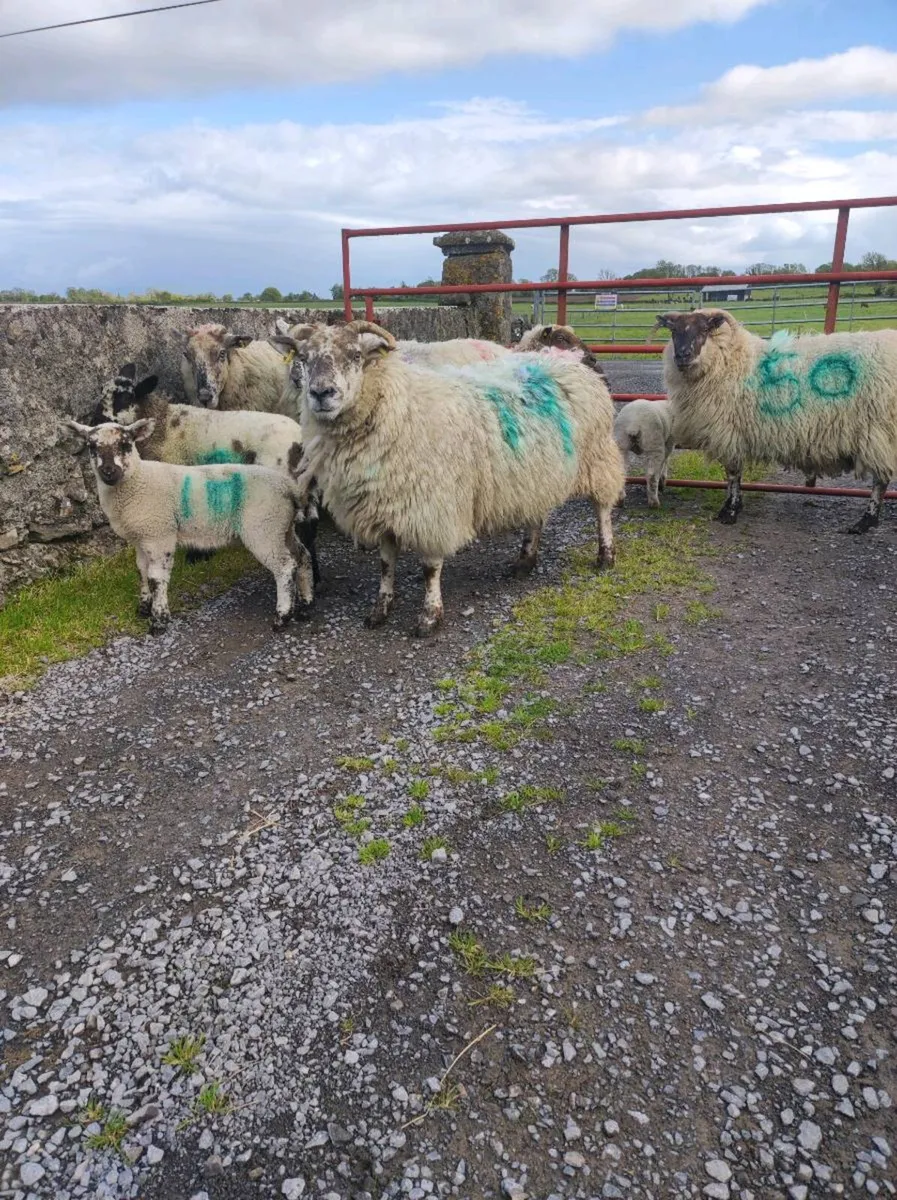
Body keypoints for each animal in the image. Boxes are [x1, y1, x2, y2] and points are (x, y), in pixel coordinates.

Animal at [63, 417, 315, 633]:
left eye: (125, 444)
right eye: (91, 446)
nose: (109, 472)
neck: (138, 481)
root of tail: (288, 487)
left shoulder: (159, 535)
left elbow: (156, 578)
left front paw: (159, 620)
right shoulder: (141, 538)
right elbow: (141, 571)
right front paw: (143, 608)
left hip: (263, 527)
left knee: (285, 567)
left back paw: (282, 617)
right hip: (282, 527)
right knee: (302, 557)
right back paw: (306, 604)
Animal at [91, 363, 321, 583]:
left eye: (124, 398)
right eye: (102, 393)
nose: (94, 422)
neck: (163, 426)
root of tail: (300, 442)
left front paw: (196, 555)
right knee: (309, 526)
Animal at [270, 319, 624, 637]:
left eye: (356, 354)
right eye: (303, 357)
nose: (321, 393)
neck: (398, 408)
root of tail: (563, 358)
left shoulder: (433, 505)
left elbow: (430, 568)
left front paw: (429, 617)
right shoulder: (383, 504)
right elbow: (385, 563)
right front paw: (380, 610)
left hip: (597, 455)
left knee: (602, 507)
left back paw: (605, 555)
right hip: (539, 471)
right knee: (536, 515)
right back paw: (525, 561)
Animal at [658, 309, 897, 532]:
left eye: (705, 330)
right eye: (673, 331)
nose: (682, 355)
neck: (729, 360)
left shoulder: (730, 432)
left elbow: (733, 474)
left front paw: (731, 511)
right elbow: (732, 474)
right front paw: (733, 505)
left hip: (880, 431)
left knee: (880, 479)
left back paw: (866, 521)